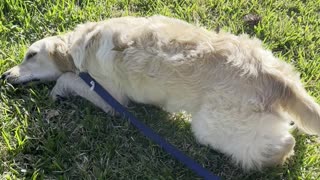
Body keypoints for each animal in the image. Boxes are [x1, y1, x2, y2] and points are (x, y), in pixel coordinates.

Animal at [2, 15, 320, 170]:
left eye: (31, 55)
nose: (5, 75)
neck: (82, 43)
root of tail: (274, 76)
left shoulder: (111, 97)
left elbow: (68, 78)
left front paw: (57, 91)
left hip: (212, 127)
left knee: (283, 143)